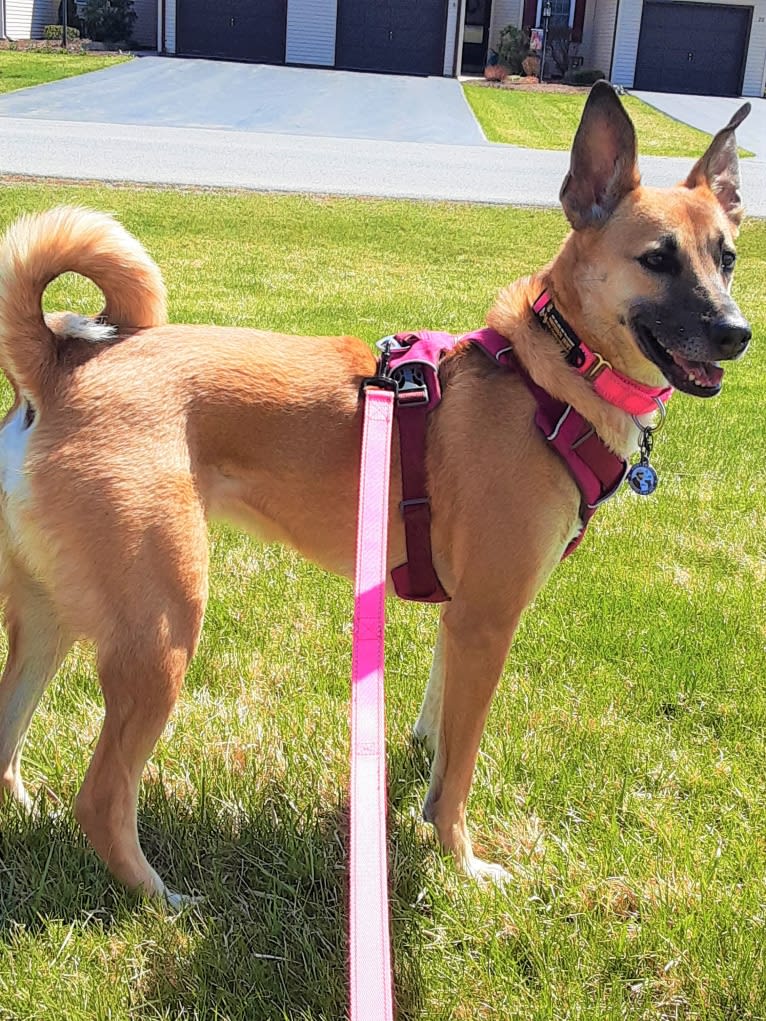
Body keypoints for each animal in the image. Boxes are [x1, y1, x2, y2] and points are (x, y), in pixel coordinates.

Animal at [0, 83, 751, 906]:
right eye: (657, 259)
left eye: (728, 258)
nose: (736, 332)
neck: (551, 375)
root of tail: (58, 368)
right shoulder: (490, 620)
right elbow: (461, 770)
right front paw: (462, 860)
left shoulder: (461, 618)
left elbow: (439, 732)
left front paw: (420, 793)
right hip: (161, 628)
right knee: (102, 796)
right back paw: (160, 898)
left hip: (50, 615)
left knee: (7, 742)